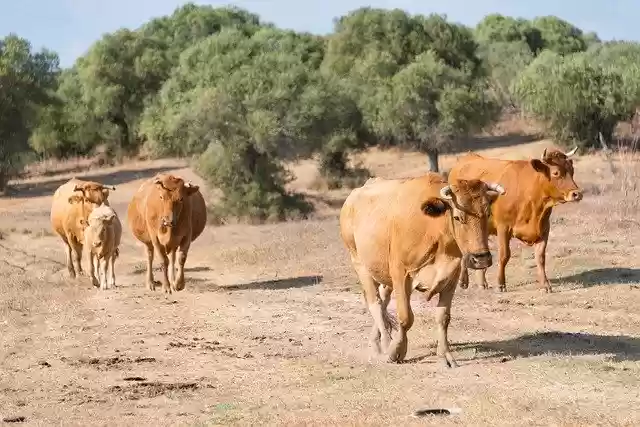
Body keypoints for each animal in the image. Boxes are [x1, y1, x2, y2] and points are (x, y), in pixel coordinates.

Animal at [339, 173, 505, 367]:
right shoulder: (400, 274)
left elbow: (443, 317)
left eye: (487, 213)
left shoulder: (451, 277)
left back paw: (376, 341)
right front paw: (396, 350)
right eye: (458, 217)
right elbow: (406, 318)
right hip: (360, 264)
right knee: (376, 303)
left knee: (383, 299)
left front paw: (445, 355)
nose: (481, 259)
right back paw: (386, 343)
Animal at [448, 146, 582, 293]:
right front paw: (501, 284)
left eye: (572, 170)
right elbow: (504, 255)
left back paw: (482, 282)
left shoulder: (544, 228)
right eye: (556, 172)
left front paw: (545, 285)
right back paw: (463, 281)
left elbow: (540, 257)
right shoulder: (503, 227)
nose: (577, 194)